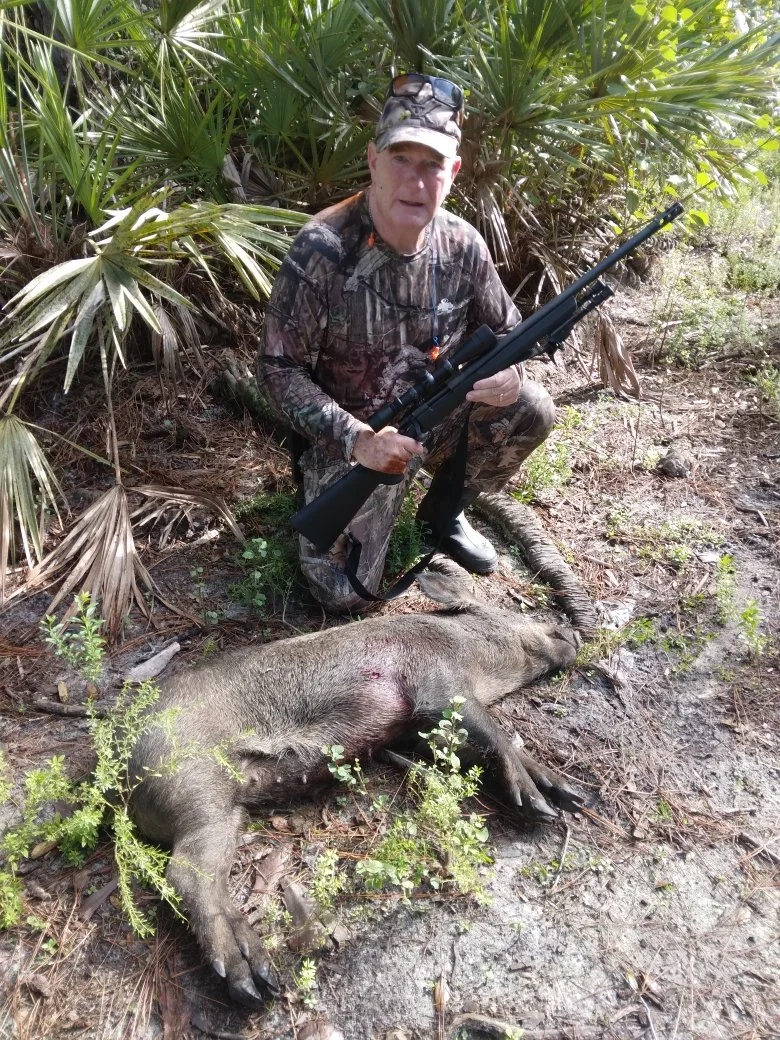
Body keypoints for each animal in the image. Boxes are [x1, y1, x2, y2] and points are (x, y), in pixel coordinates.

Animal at [128, 562, 583, 1008]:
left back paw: (263, 981)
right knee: (183, 876)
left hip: (229, 810)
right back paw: (251, 987)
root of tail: (122, 769)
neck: (467, 651)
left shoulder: (418, 730)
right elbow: (495, 734)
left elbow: (482, 749)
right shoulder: (437, 685)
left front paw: (571, 796)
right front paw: (540, 807)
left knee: (208, 882)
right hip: (200, 792)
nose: (574, 633)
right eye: (509, 612)